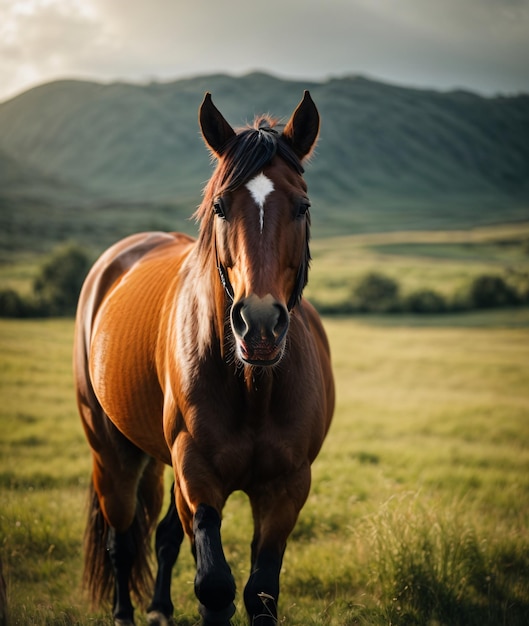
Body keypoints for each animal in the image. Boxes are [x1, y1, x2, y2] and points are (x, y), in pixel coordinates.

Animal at [74, 92, 334, 624]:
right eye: (220, 206)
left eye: (302, 206)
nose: (259, 324)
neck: (254, 388)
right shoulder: (198, 475)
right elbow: (214, 586)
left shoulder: (287, 489)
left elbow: (260, 590)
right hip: (112, 453)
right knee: (121, 541)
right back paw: (125, 612)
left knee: (163, 536)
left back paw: (158, 607)